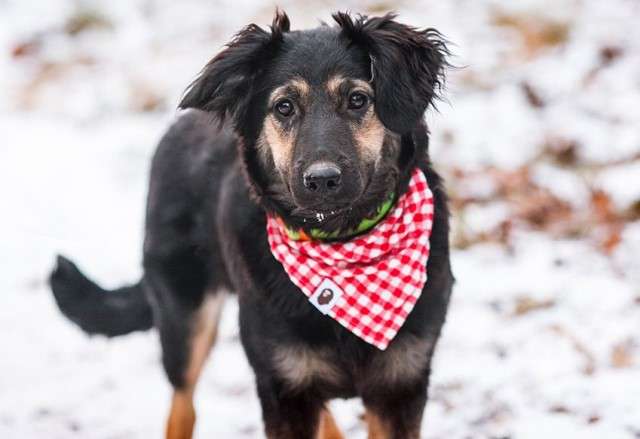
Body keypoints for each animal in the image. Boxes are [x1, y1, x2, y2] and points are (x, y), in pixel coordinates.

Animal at [50, 11, 452, 439]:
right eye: (284, 107)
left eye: (358, 100)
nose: (322, 180)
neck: (341, 244)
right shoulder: (282, 382)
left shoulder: (399, 385)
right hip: (186, 320)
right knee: (182, 406)